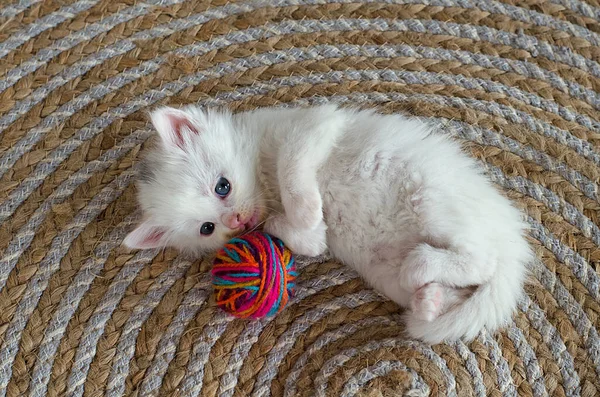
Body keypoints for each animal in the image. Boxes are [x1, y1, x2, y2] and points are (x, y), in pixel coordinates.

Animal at [124, 103, 532, 342]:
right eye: (208, 228)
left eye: (222, 186)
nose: (236, 220)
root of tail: (512, 238)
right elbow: (299, 237)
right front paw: (310, 229)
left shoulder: (314, 123)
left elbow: (291, 166)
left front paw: (306, 210)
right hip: (385, 270)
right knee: (463, 288)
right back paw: (428, 300)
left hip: (430, 198)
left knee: (481, 259)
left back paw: (422, 268)